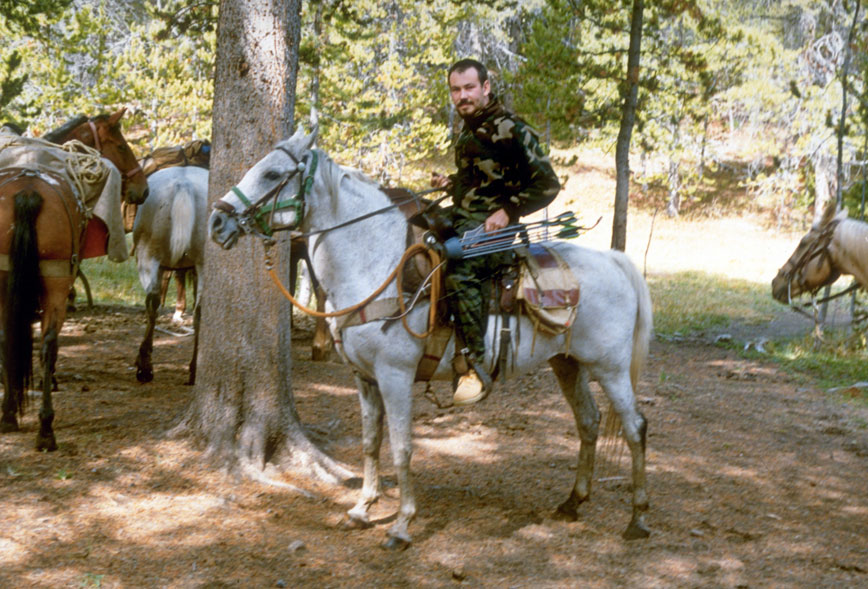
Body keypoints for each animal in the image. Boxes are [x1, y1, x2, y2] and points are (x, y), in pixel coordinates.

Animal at [0, 117, 146, 452]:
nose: (143, 189)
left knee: (13, 341)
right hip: (56, 285)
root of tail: (28, 191)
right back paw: (45, 427)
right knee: (48, 345)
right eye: (121, 146)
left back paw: (12, 415)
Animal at [132, 163, 207, 384]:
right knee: (200, 310)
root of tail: (184, 184)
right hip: (201, 262)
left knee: (152, 301)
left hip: (147, 256)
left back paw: (145, 366)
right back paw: (193, 369)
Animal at [209, 129, 652, 548]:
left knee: (634, 427)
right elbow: (371, 442)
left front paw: (402, 524)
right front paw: (362, 508)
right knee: (589, 421)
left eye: (272, 174)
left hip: (610, 368)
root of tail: (616, 260)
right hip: (568, 363)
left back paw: (637, 518)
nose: (217, 221)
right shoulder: (364, 378)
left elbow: (402, 447)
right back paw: (573, 502)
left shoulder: (395, 375)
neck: (375, 263)